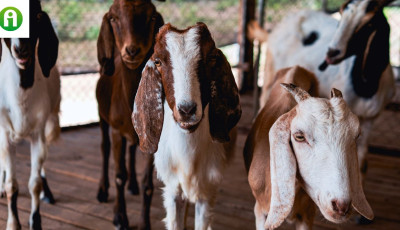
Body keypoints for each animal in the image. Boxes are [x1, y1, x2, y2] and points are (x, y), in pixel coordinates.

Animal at [0, 0, 60, 229]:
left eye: (36, 16)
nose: (21, 49)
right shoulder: (4, 134)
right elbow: (12, 186)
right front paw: (12, 223)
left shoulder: (38, 134)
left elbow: (34, 184)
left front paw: (36, 221)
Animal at [95, 0, 164, 228]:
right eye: (113, 18)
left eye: (152, 17)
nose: (132, 50)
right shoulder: (117, 130)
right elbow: (119, 175)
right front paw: (120, 217)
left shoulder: (153, 137)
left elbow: (148, 184)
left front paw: (144, 223)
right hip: (102, 116)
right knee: (105, 148)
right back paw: (102, 190)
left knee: (132, 149)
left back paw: (132, 185)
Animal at [244, 65, 376, 229]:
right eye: (299, 136)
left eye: (356, 136)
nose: (341, 206)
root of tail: (296, 67)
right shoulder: (260, 210)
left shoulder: (307, 214)